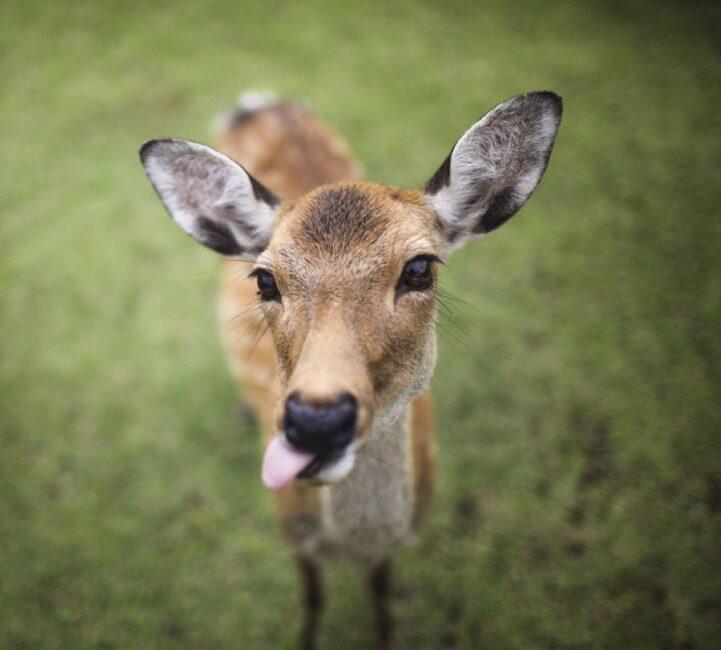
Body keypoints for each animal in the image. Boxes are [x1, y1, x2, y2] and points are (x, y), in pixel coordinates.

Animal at [138, 88, 560, 644]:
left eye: (420, 267)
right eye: (264, 280)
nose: (315, 421)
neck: (351, 543)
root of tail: (260, 103)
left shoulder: (395, 546)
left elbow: (381, 595)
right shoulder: (291, 535)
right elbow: (312, 598)